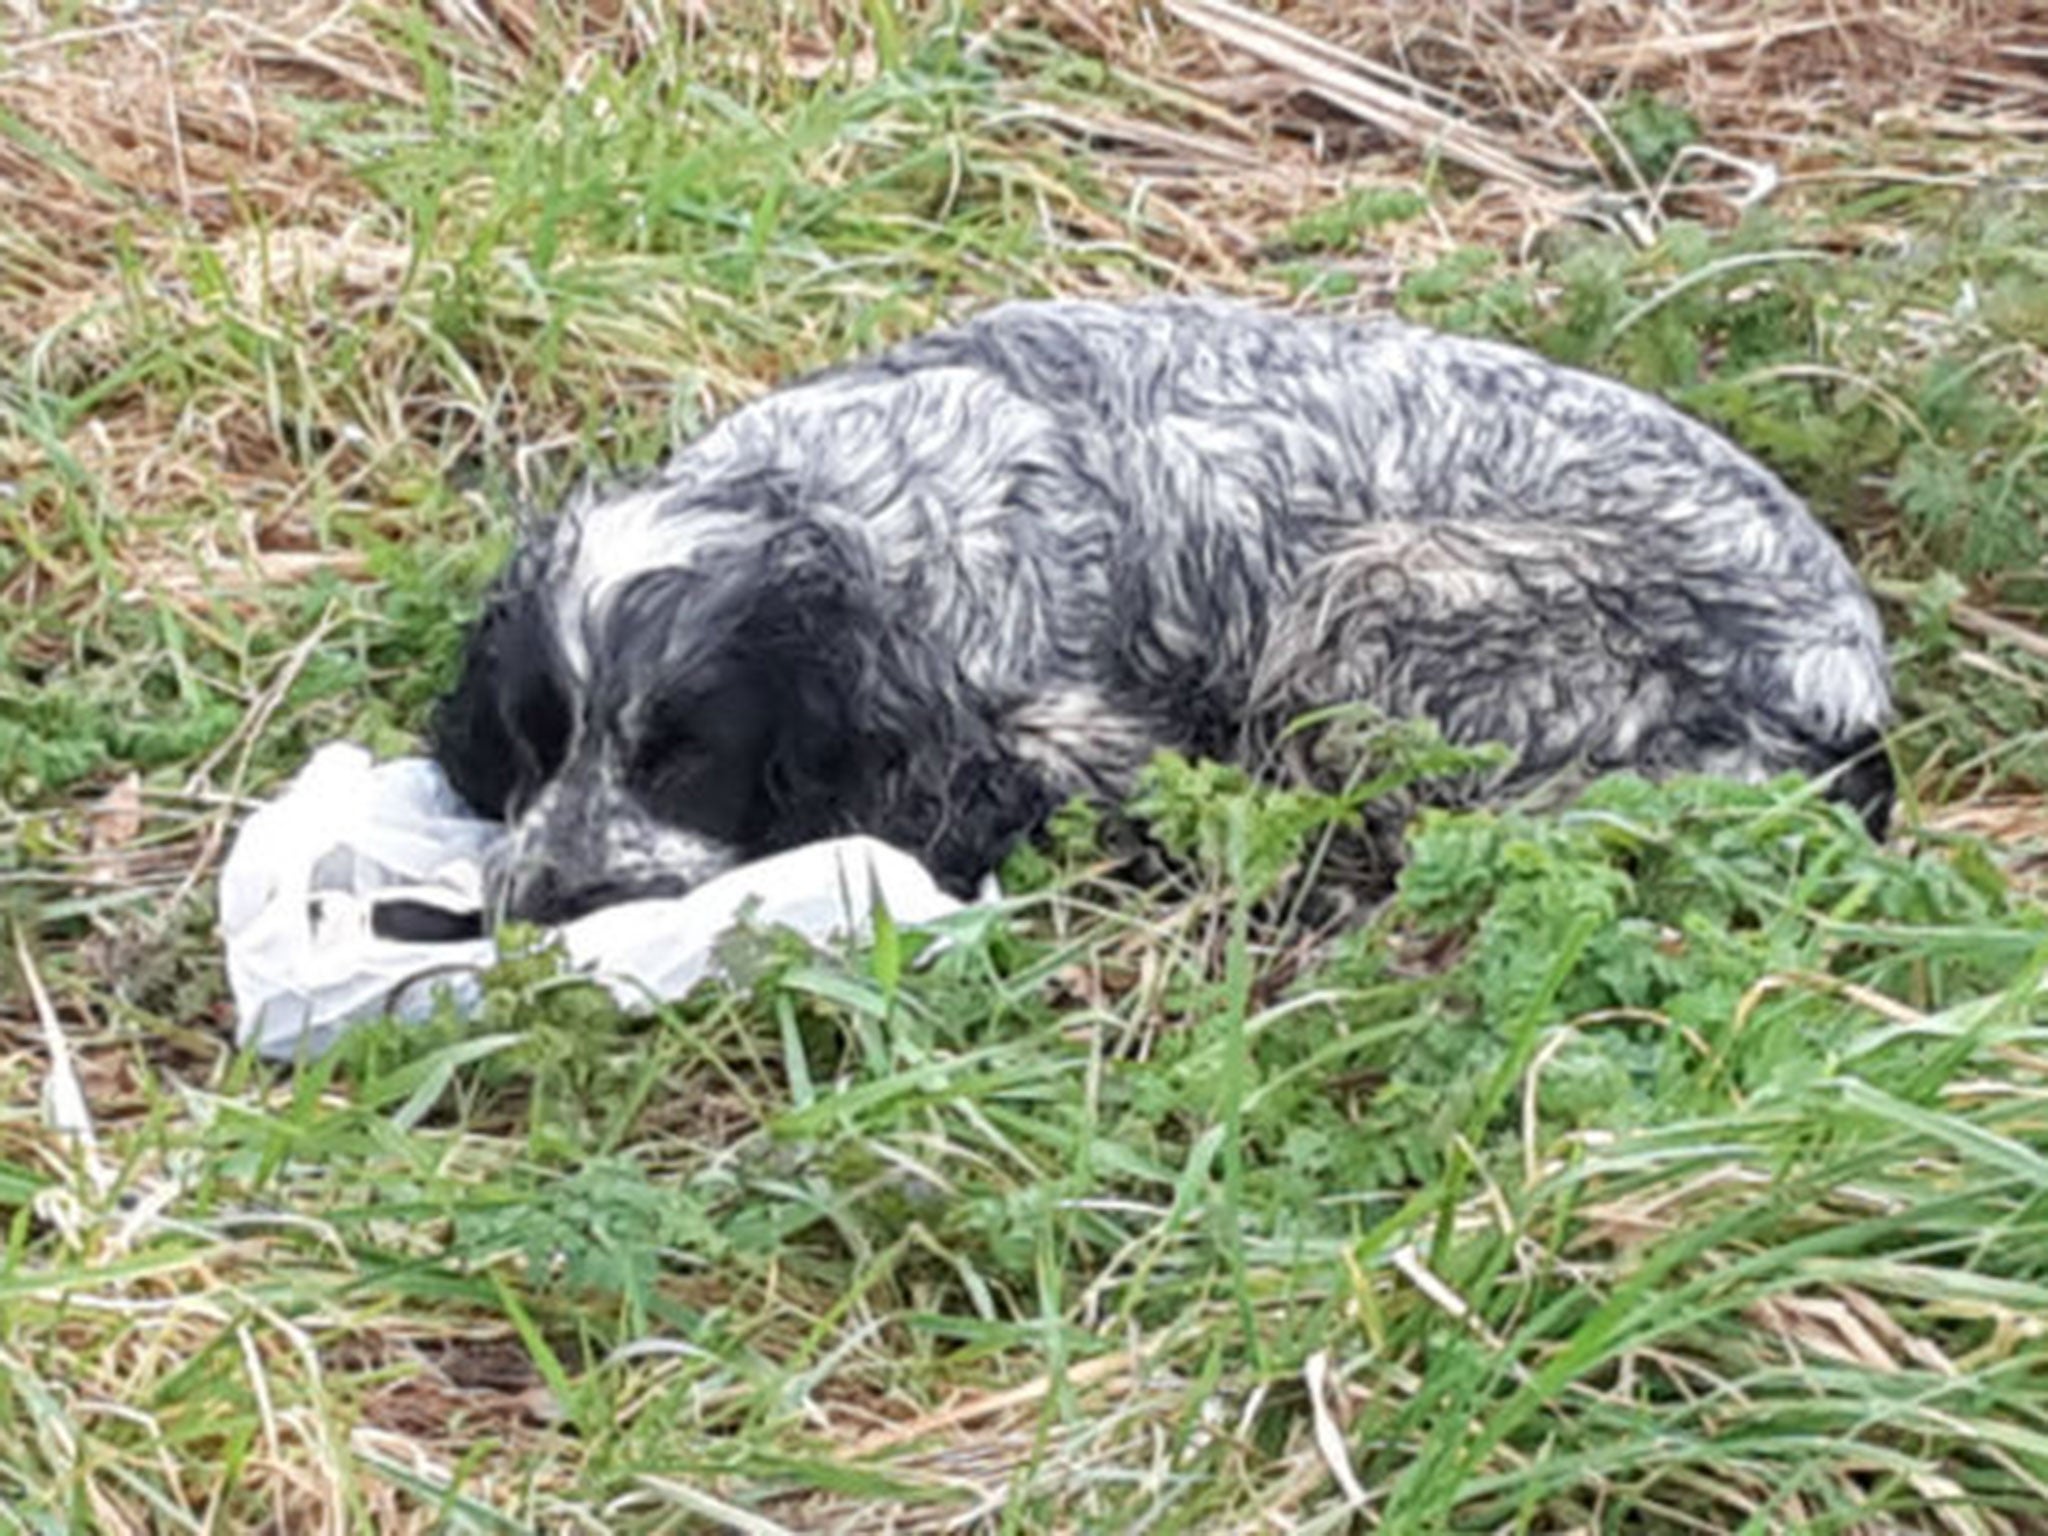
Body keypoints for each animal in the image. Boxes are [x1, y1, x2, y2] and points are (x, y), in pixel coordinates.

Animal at [440, 301, 1892, 925]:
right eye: (532, 744)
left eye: (685, 758)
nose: (543, 899)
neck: (854, 507)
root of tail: (1849, 686)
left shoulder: (1080, 737)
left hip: (1377, 597)